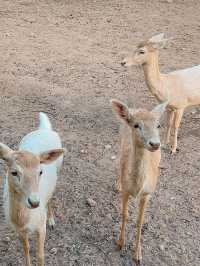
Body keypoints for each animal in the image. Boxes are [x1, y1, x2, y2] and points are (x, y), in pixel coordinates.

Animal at [0, 112, 64, 266]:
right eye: (14, 172)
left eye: (40, 172)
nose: (34, 202)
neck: (24, 221)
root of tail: (44, 128)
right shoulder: (19, 231)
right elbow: (26, 250)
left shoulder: (41, 227)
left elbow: (40, 256)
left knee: (50, 198)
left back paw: (51, 220)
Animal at [111, 98, 167, 262]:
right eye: (136, 125)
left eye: (158, 125)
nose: (155, 144)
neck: (137, 187)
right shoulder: (126, 191)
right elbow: (125, 215)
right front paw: (120, 243)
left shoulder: (147, 194)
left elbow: (140, 221)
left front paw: (137, 254)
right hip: (120, 141)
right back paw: (117, 184)